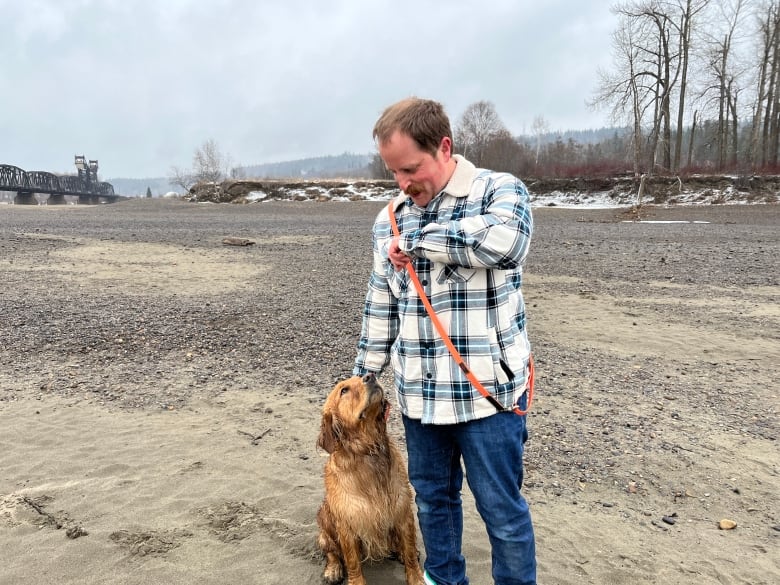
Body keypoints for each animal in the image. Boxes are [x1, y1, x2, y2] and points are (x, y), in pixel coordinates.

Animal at [316, 374, 424, 584]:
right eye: (344, 390)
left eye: (359, 377)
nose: (370, 376)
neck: (368, 451)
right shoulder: (347, 523)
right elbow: (352, 561)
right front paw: (356, 580)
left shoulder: (402, 512)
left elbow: (408, 551)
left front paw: (416, 577)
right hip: (324, 519)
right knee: (331, 551)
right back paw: (333, 569)